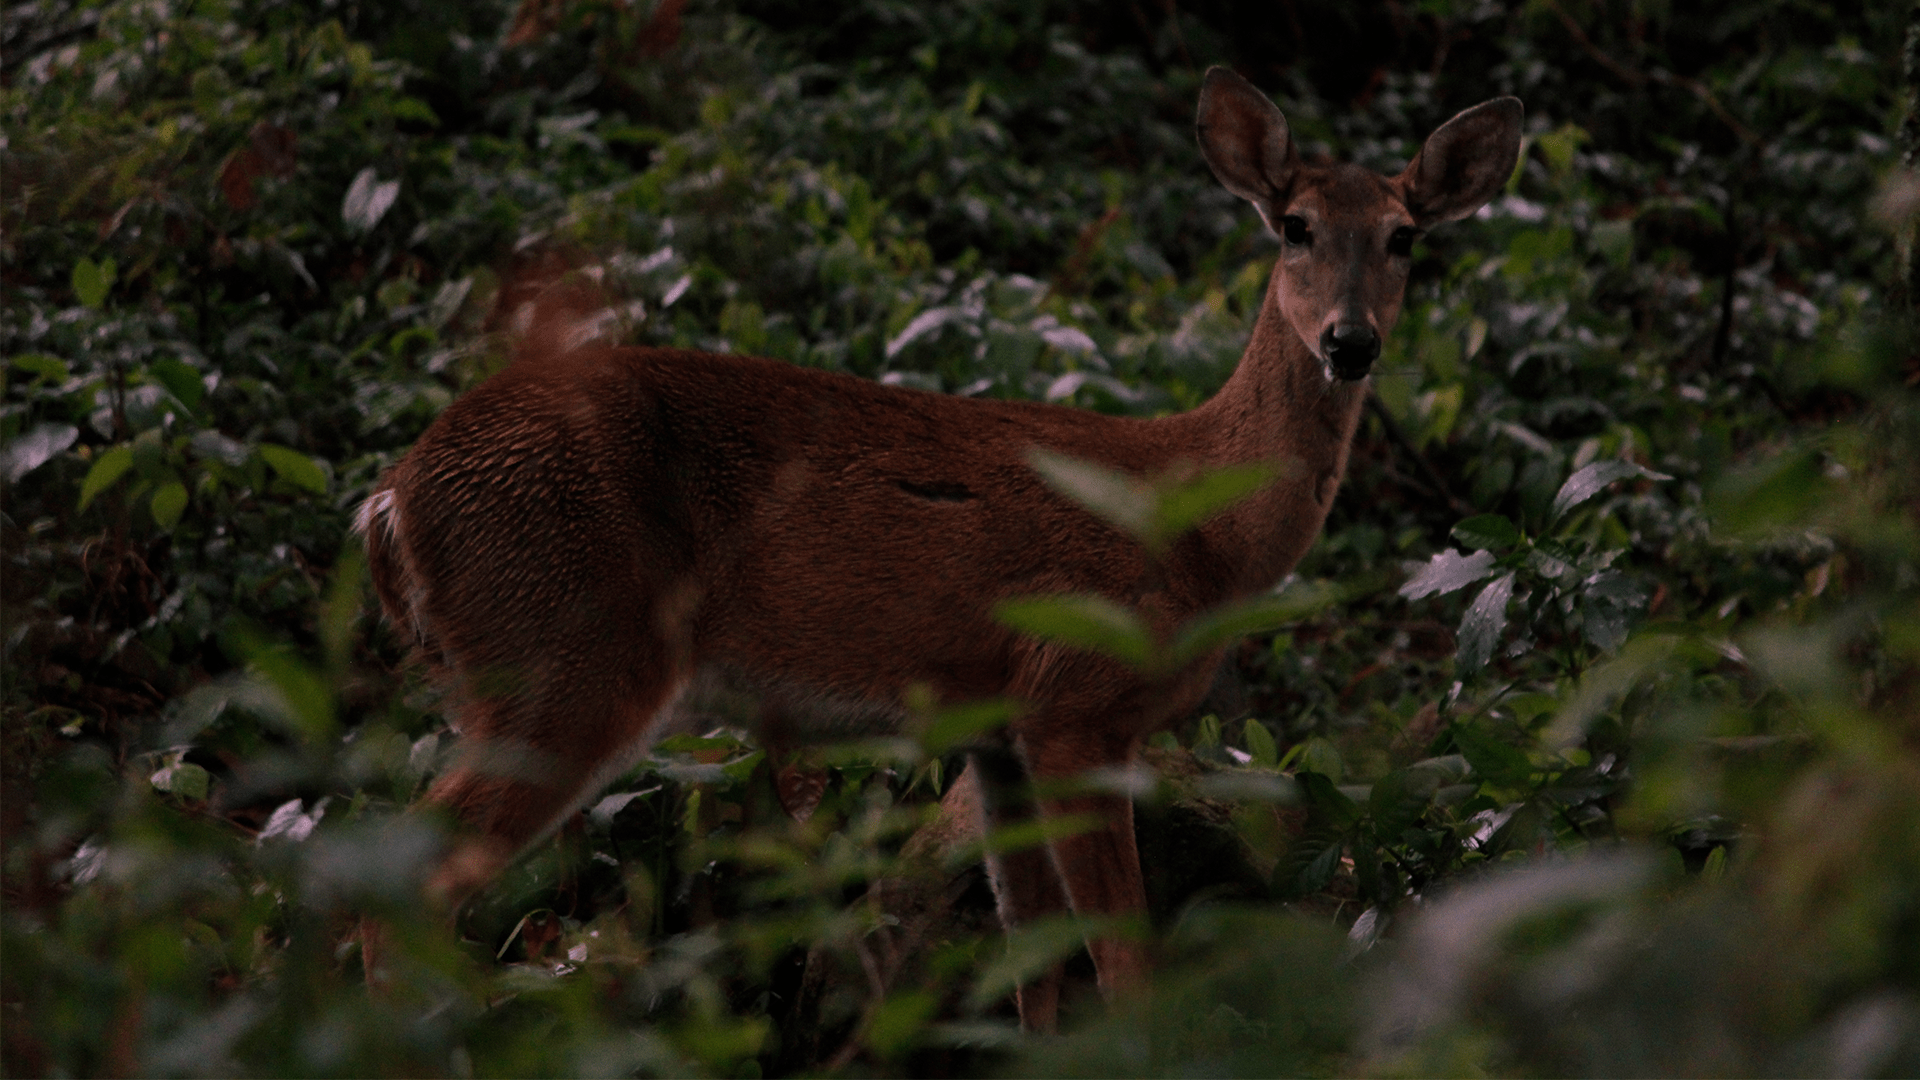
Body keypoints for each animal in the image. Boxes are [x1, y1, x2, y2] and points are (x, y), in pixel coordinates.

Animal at [356, 67, 1522, 1030]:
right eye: (1293, 225)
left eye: (1407, 236)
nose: (1350, 341)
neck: (1199, 526)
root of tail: (391, 502)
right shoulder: (1076, 701)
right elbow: (1122, 961)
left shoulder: (996, 732)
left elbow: (1033, 961)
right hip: (564, 652)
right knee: (394, 895)